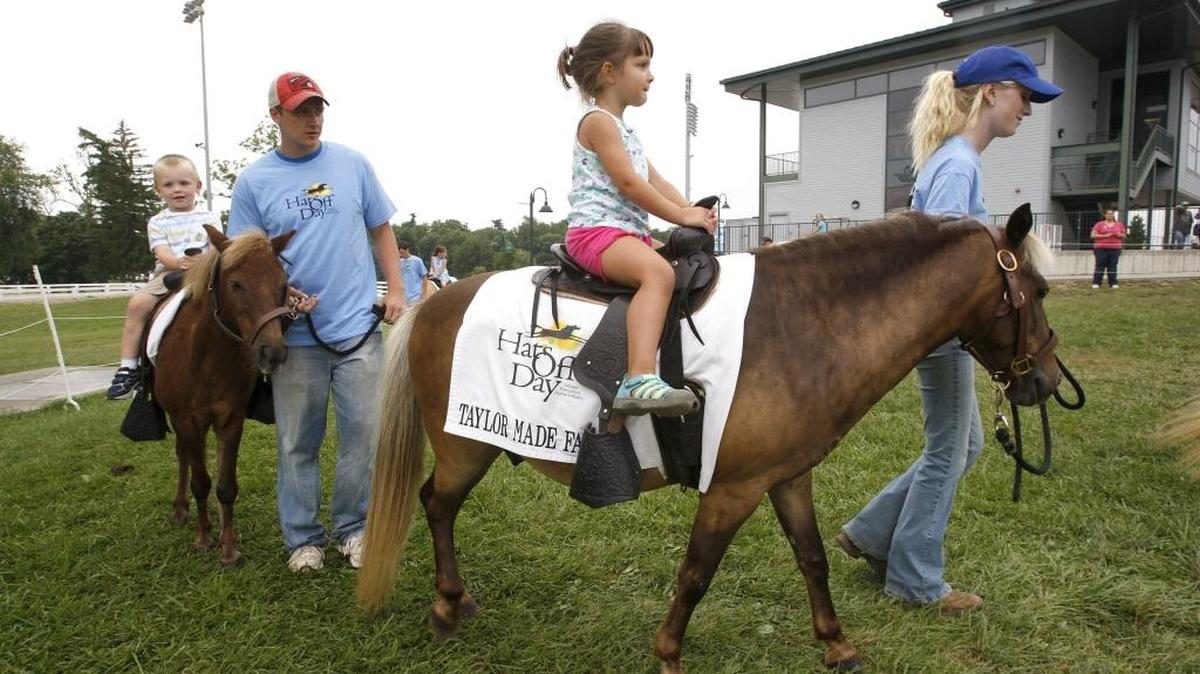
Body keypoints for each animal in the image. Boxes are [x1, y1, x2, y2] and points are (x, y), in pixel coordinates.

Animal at [153, 225, 295, 567]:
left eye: (282, 284)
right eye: (235, 284)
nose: (273, 352)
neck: (208, 355)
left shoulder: (230, 419)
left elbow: (226, 485)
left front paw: (228, 546)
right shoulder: (188, 420)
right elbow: (200, 481)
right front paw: (203, 537)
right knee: (183, 457)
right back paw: (181, 509)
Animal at [356, 205, 1061, 672]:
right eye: (1041, 288)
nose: (1049, 381)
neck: (803, 322)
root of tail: (431, 303)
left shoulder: (787, 476)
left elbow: (812, 557)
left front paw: (835, 643)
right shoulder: (733, 487)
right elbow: (696, 572)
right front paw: (668, 653)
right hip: (466, 445)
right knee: (437, 504)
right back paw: (447, 605)